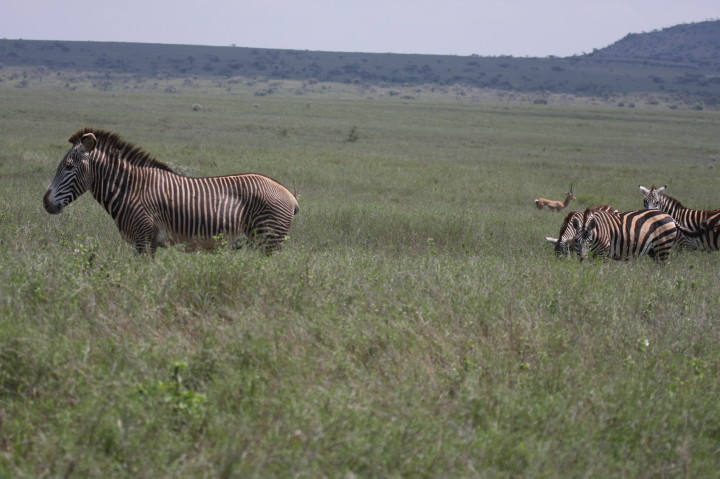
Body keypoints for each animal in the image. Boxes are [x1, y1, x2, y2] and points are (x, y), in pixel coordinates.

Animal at [43, 128, 299, 255]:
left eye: (68, 167)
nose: (45, 202)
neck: (131, 190)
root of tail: (288, 193)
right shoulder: (146, 242)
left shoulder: (144, 239)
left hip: (269, 240)